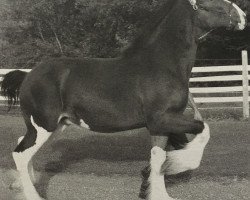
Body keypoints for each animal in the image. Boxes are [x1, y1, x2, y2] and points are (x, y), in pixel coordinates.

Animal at [0, 0, 246, 200]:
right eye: (213, 3)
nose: (243, 17)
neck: (162, 64)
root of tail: (27, 75)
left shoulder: (160, 125)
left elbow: (158, 159)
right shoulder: (161, 120)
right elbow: (203, 131)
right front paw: (178, 165)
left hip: (55, 125)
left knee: (23, 146)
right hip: (44, 125)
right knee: (20, 153)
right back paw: (32, 194)